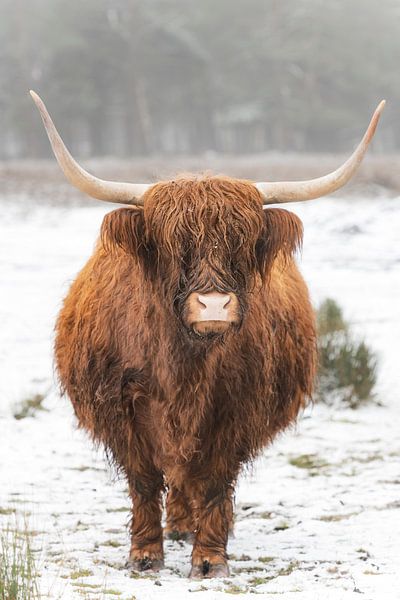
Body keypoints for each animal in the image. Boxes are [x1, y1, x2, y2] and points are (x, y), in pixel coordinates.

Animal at [31, 92, 384, 576]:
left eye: (242, 244)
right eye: (173, 246)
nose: (214, 306)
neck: (184, 367)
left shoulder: (236, 410)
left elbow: (215, 479)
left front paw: (210, 558)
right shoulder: (122, 409)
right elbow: (145, 480)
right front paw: (145, 556)